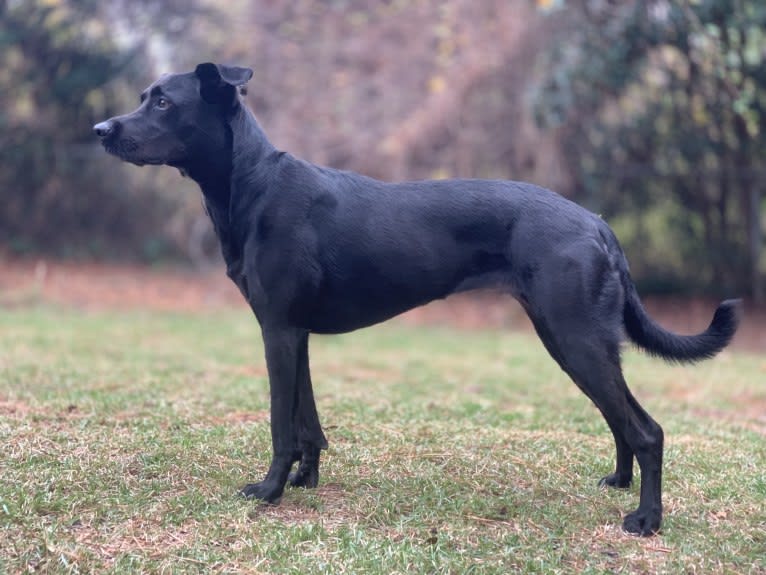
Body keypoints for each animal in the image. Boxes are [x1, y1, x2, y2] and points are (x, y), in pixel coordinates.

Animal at [93, 63, 740, 536]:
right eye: (145, 96)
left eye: (163, 103)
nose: (100, 131)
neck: (252, 184)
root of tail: (601, 225)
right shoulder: (296, 333)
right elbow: (308, 421)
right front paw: (306, 481)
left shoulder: (277, 329)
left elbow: (281, 422)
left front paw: (270, 492)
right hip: (573, 339)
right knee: (621, 418)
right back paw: (619, 483)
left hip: (575, 337)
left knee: (646, 429)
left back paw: (646, 519)